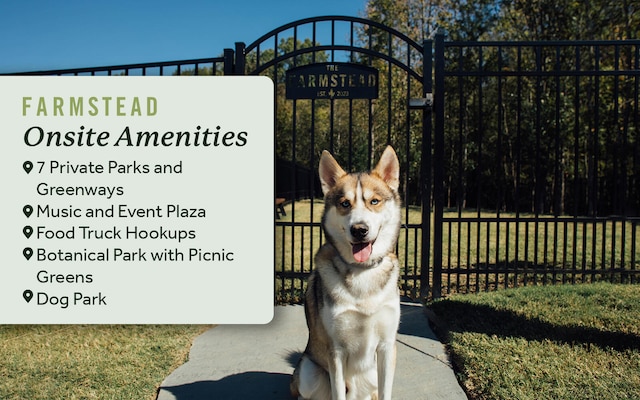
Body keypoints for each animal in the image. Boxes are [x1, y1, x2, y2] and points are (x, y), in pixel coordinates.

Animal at [292, 146, 400, 400]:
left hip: (371, 375)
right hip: (308, 371)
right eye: (344, 204)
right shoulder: (336, 351)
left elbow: (386, 392)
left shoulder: (387, 346)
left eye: (374, 201)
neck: (363, 272)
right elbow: (338, 391)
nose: (359, 230)